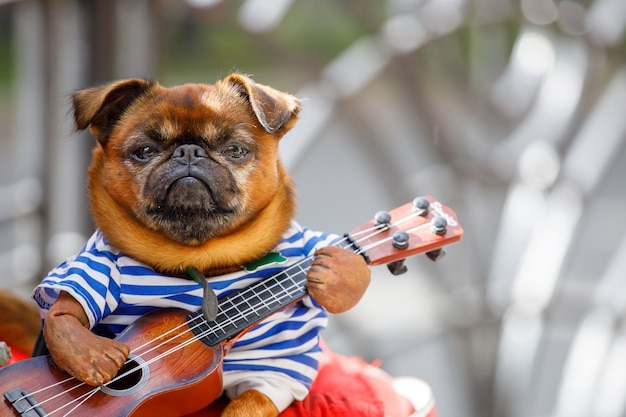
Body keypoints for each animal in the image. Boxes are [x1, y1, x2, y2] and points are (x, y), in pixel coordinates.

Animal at [33, 75, 370, 416]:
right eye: (144, 151)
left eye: (235, 150)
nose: (188, 152)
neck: (203, 260)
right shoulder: (100, 262)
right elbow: (66, 310)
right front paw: (89, 355)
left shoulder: (273, 373)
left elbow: (248, 404)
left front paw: (339, 270)